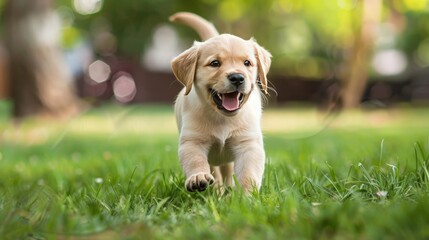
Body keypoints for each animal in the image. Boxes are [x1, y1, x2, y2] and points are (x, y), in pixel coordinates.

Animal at [168, 12, 270, 194]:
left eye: (247, 63)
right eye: (215, 63)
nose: (237, 77)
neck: (222, 117)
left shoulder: (248, 144)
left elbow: (248, 173)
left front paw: (246, 195)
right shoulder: (192, 141)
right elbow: (195, 160)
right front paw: (197, 178)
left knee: (227, 172)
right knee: (215, 172)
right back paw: (217, 189)